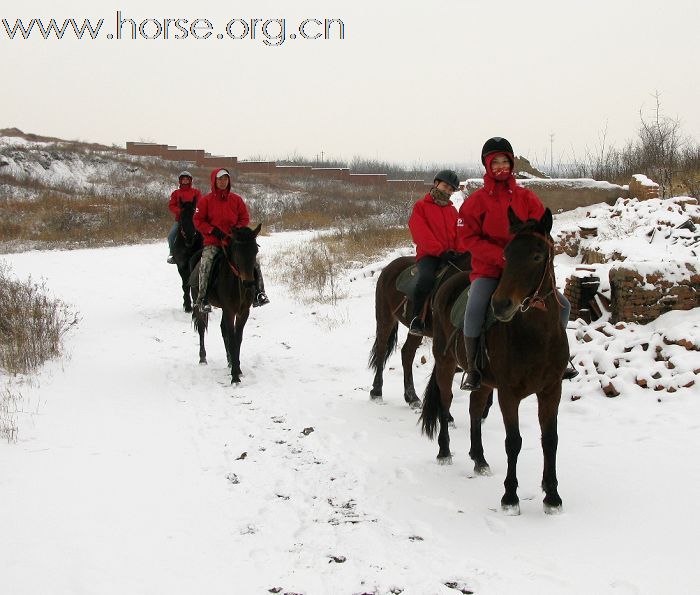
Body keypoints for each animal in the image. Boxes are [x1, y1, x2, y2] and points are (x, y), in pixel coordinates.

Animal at [190, 225, 262, 386]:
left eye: (255, 250)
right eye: (237, 252)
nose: (249, 283)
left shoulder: (243, 312)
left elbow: (237, 338)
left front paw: (237, 368)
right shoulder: (230, 311)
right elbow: (232, 337)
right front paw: (235, 376)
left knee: (223, 330)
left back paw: (229, 361)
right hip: (199, 304)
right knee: (202, 328)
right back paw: (203, 358)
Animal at [366, 251, 470, 410]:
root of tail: (388, 268)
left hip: (415, 331)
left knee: (407, 354)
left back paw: (412, 397)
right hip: (385, 318)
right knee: (382, 350)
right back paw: (377, 392)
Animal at [418, 207, 568, 516]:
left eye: (537, 256)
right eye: (506, 255)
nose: (500, 305)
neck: (537, 336)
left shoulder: (552, 390)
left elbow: (550, 440)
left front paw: (552, 496)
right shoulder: (508, 394)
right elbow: (514, 442)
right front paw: (510, 497)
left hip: (483, 381)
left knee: (475, 410)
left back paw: (479, 459)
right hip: (445, 364)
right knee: (445, 403)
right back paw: (444, 451)